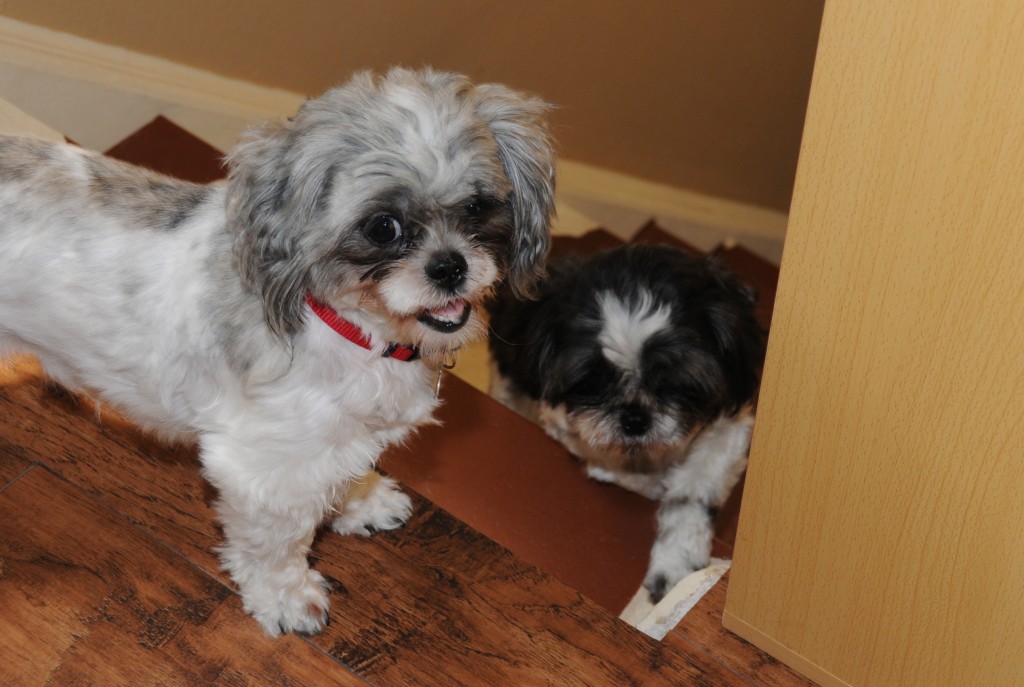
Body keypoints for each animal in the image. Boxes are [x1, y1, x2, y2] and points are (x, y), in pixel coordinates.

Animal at [0, 68, 552, 634]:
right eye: (383, 227)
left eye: (478, 206)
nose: (449, 267)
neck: (352, 327)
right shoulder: (264, 470)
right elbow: (278, 543)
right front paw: (285, 596)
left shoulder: (343, 436)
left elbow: (346, 470)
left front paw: (362, 501)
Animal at [485, 245, 761, 602]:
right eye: (593, 382)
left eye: (673, 380)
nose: (634, 418)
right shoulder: (561, 419)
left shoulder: (729, 428)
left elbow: (690, 494)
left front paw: (675, 567)